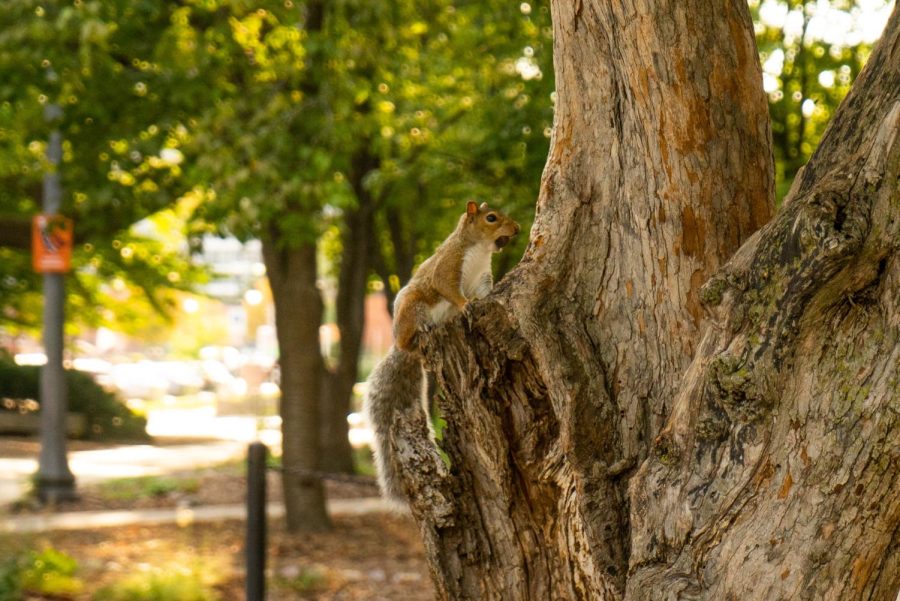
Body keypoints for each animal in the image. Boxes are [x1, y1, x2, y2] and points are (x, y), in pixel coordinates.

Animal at [364, 199, 520, 500]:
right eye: (491, 218)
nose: (517, 228)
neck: (479, 249)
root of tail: (404, 347)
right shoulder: (448, 267)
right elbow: (450, 290)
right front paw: (466, 305)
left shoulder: (482, 277)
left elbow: (483, 292)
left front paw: (488, 300)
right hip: (414, 308)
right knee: (411, 333)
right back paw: (420, 332)